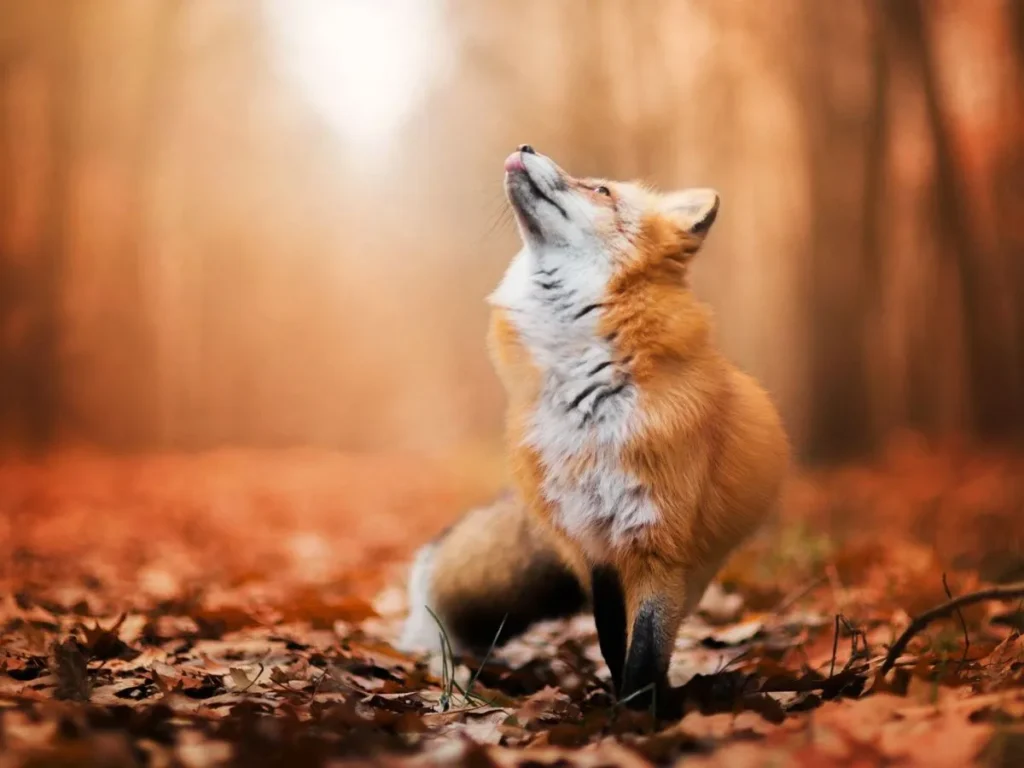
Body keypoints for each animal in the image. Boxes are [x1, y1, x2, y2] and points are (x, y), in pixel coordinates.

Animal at [399, 145, 790, 714]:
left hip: (695, 566)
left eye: (601, 190)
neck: (586, 404)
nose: (526, 147)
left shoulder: (657, 542)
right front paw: (621, 707)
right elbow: (611, 641)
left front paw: (636, 718)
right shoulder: (592, 543)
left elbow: (645, 651)